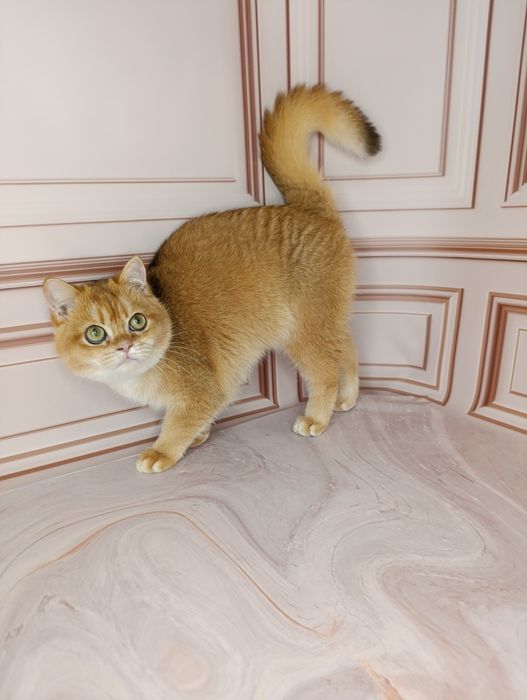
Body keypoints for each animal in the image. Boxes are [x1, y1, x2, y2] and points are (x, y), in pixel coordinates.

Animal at [43, 84, 381, 473]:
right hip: (327, 319)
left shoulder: (203, 388)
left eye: (137, 321)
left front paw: (162, 451)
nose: (125, 346)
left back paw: (318, 417)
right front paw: (200, 436)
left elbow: (179, 422)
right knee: (348, 348)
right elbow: (199, 420)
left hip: (303, 329)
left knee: (325, 370)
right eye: (95, 334)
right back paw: (348, 397)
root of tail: (308, 207)